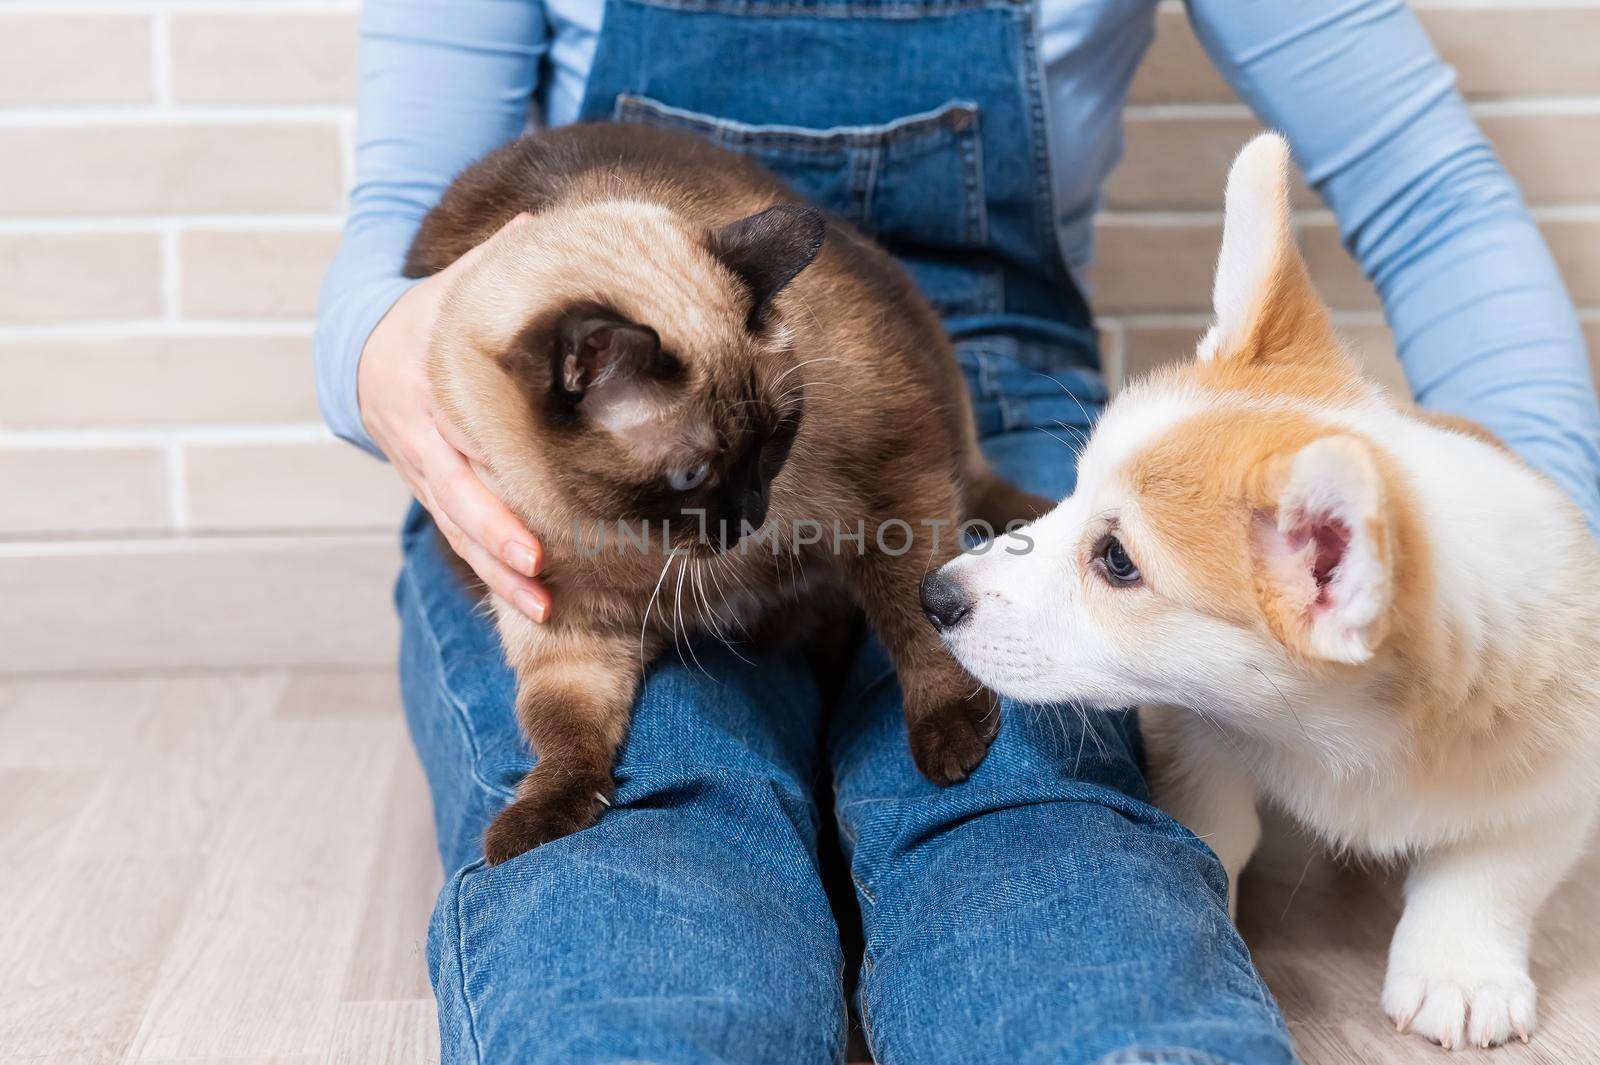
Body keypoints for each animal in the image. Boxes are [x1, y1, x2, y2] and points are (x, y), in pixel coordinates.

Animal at [406, 122, 1043, 863]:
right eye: (692, 475)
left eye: (776, 439)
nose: (751, 515)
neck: (625, 538)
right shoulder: (565, 620)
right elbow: (564, 724)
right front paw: (543, 817)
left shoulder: (890, 492)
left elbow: (918, 615)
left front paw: (951, 729)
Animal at [928, 130, 1600, 1042]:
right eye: (1070, 492)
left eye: (1118, 560)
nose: (935, 596)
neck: (1341, 731)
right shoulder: (1196, 732)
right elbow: (1219, 818)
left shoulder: (1557, 783)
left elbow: (1489, 872)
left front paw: (1460, 971)